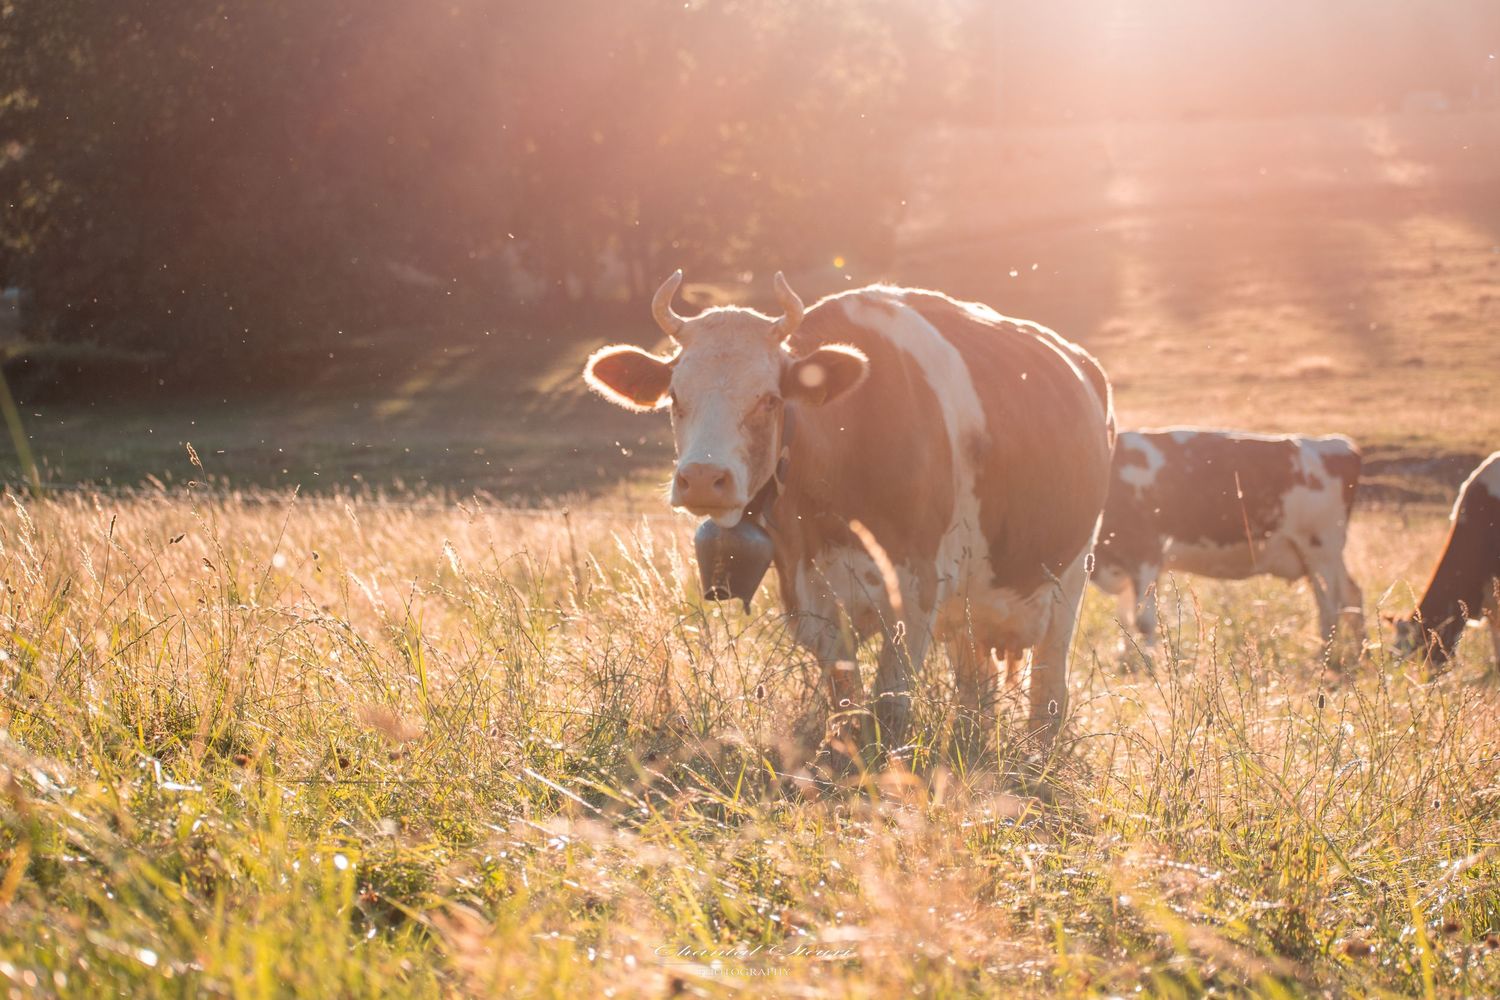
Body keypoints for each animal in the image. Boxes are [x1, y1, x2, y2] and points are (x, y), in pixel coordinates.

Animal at [583, 271, 1115, 750]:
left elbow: (891, 705)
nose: (701, 478)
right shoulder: (809, 595)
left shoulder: (915, 591)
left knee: (1048, 689)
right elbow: (844, 697)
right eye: (675, 396)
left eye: (770, 399)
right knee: (976, 687)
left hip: (1068, 580)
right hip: (967, 603)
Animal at [1091, 429, 1364, 653]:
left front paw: (1150, 665)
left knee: (1330, 606)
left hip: (1320, 550)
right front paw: (1128, 661)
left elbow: (1143, 621)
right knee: (1351, 595)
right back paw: (1361, 651)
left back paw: (1324, 658)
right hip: (1319, 557)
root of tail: (1335, 443)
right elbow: (1125, 617)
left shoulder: (1145, 553)